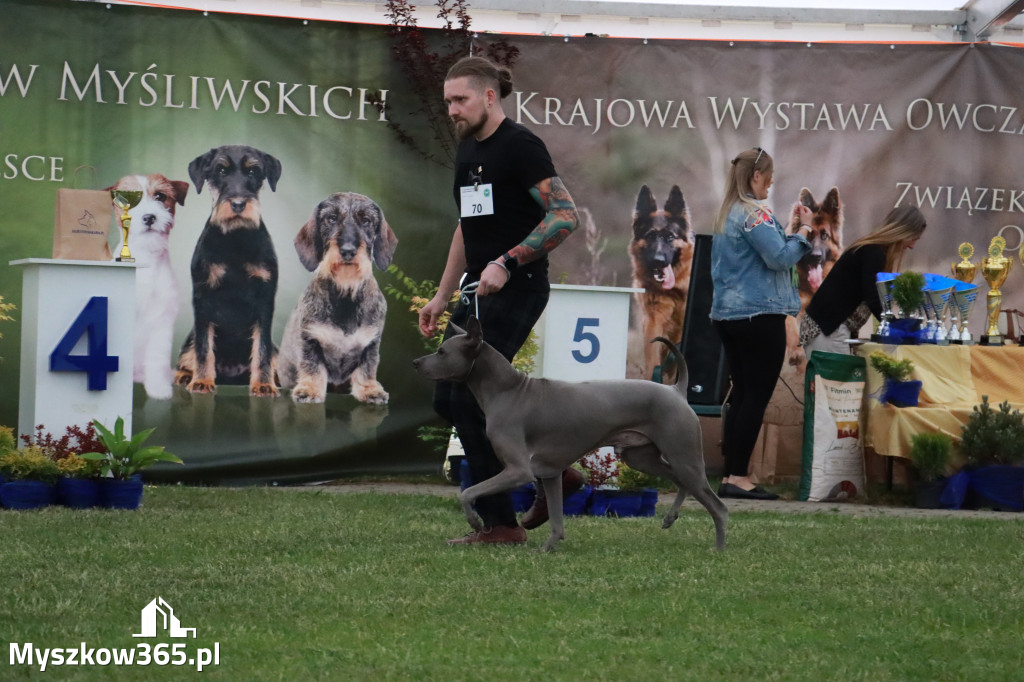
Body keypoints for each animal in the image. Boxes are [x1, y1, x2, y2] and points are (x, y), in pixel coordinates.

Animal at [107, 173, 189, 399]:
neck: (145, 261)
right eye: (126, 200)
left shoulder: (162, 320)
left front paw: (159, 388)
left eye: (160, 196)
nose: (149, 217)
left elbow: (157, 358)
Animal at [409, 315, 729, 548]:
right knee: (682, 482)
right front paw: (547, 548)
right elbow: (556, 520)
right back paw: (670, 517)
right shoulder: (549, 473)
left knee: (718, 506)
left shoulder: (518, 471)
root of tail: (676, 390)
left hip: (683, 453)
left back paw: (718, 549)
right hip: (642, 457)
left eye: (442, 351)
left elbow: (468, 492)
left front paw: (475, 523)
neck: (509, 390)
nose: (415, 363)